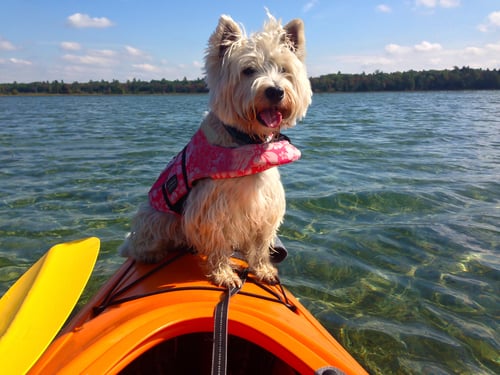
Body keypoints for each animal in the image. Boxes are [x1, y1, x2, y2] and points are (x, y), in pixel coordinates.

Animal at [118, 12, 310, 288]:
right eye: (248, 70)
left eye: (284, 69)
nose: (275, 91)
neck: (248, 141)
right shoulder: (211, 210)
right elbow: (218, 244)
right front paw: (224, 274)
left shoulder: (265, 209)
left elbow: (261, 244)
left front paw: (262, 269)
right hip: (156, 218)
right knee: (139, 244)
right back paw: (149, 253)